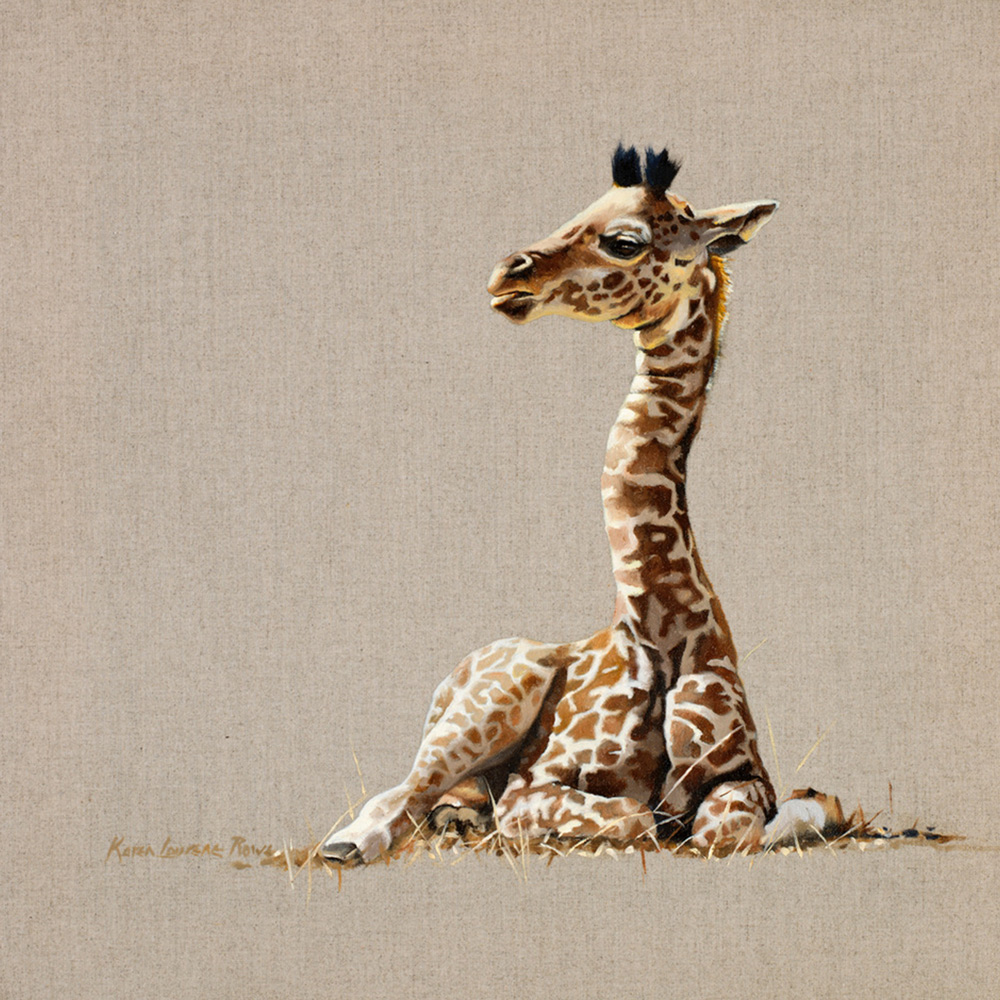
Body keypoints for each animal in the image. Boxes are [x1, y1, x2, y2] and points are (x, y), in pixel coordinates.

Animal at [320, 146, 843, 864]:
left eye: (624, 241)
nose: (505, 275)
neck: (661, 633)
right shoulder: (533, 788)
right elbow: (639, 820)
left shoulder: (744, 778)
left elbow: (763, 819)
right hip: (489, 704)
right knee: (403, 793)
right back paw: (354, 842)